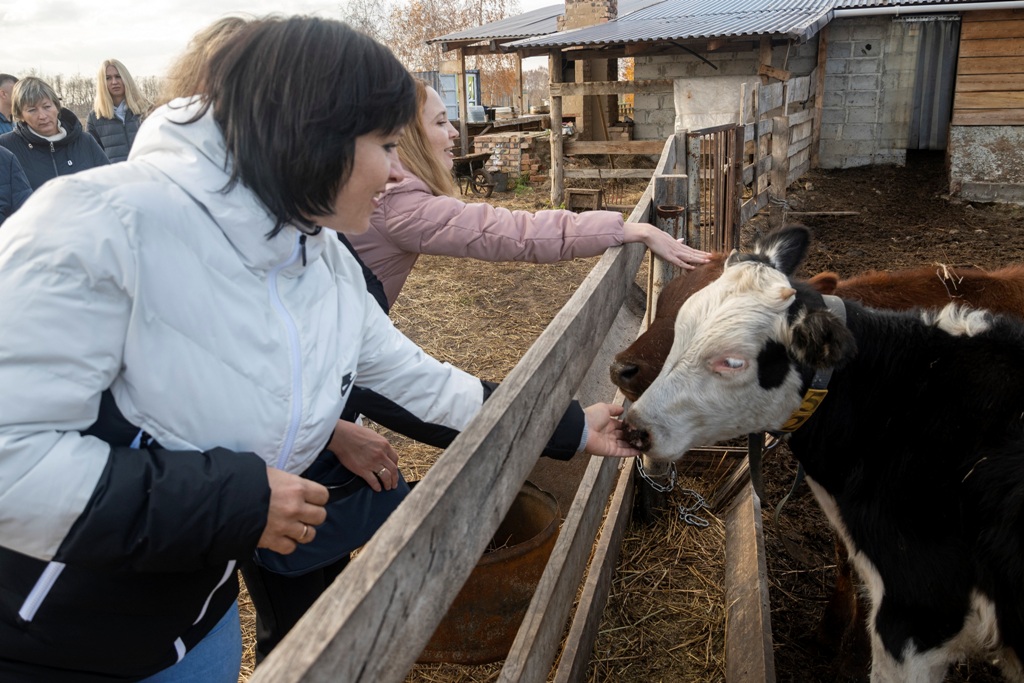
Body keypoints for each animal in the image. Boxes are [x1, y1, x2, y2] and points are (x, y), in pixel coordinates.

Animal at [614, 228, 1024, 683]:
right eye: (669, 304)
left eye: (733, 361)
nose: (621, 370)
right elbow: (844, 558)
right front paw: (833, 629)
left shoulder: (917, 615)